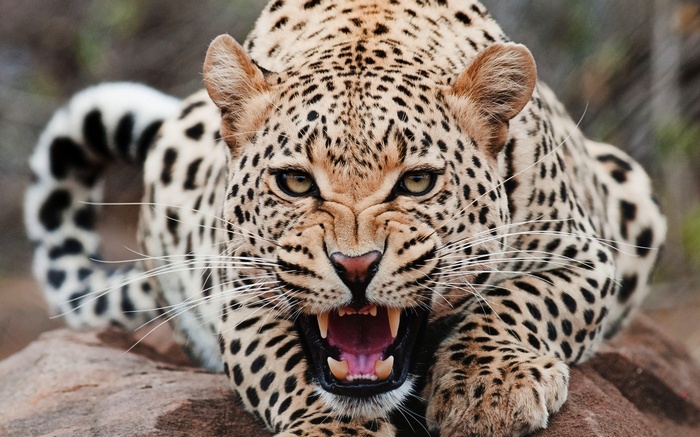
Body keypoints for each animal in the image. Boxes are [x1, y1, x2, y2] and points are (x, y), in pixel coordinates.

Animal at [25, 0, 666, 435]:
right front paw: (334, 429)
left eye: (417, 182)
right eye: (295, 182)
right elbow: (283, 363)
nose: (355, 267)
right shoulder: (239, 292)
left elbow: (520, 301)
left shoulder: (585, 256)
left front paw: (488, 390)